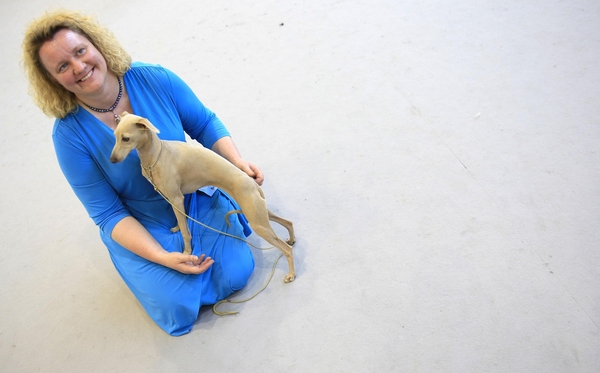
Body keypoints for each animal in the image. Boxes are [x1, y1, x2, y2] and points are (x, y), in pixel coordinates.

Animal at [109, 112, 296, 280]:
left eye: (126, 138)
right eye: (115, 136)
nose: (112, 160)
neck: (157, 155)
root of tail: (252, 183)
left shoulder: (177, 199)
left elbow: (186, 232)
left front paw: (186, 252)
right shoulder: (172, 199)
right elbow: (181, 221)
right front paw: (177, 228)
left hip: (257, 222)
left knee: (286, 250)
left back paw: (291, 274)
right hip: (259, 213)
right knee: (288, 222)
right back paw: (292, 240)